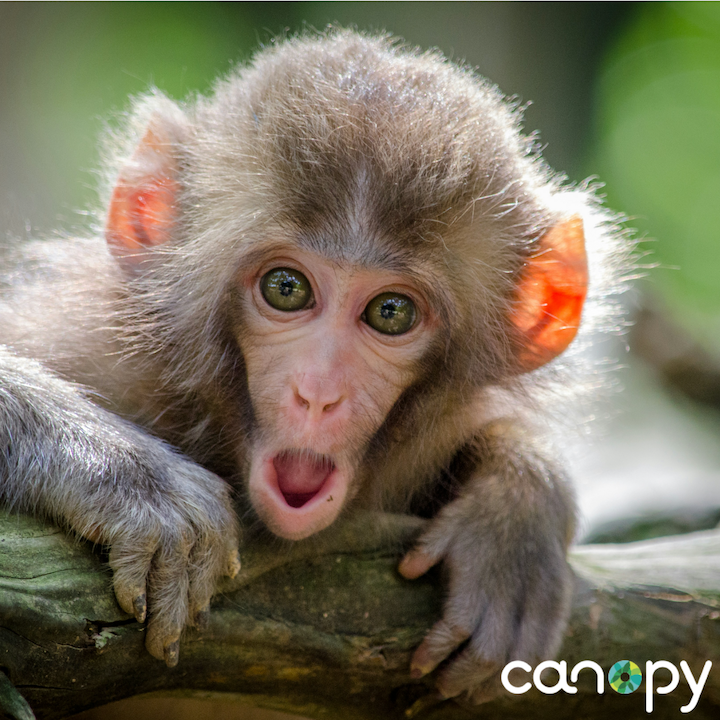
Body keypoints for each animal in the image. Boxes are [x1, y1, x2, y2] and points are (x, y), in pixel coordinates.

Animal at [0, 30, 629, 702]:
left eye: (390, 312)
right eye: (287, 288)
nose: (319, 392)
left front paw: (517, 512)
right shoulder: (84, 342)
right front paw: (124, 473)